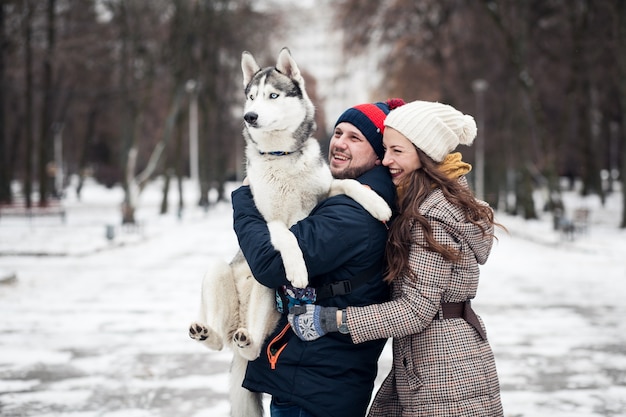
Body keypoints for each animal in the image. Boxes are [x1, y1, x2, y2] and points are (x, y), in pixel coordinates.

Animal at [188, 48, 388, 416]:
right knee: (220, 341)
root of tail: (237, 325)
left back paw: (245, 339)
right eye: (251, 96)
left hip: (265, 294)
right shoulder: (268, 219)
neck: (280, 156)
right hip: (221, 272)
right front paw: (297, 268)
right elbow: (287, 235)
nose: (250, 116)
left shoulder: (323, 193)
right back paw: (206, 332)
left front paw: (378, 204)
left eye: (273, 96)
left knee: (252, 347)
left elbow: (349, 183)